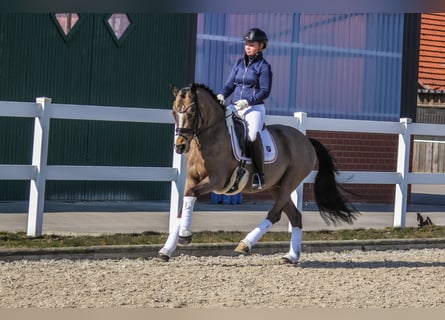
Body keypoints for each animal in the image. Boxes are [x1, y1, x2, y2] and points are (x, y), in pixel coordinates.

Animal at [158, 83, 360, 264]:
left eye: (191, 112)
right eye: (174, 112)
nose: (179, 146)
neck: (210, 137)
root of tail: (306, 140)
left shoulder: (216, 180)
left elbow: (190, 196)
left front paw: (185, 236)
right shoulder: (193, 179)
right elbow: (183, 206)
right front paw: (167, 249)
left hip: (290, 182)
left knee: (275, 214)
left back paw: (245, 244)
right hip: (276, 186)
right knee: (295, 216)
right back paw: (291, 257)